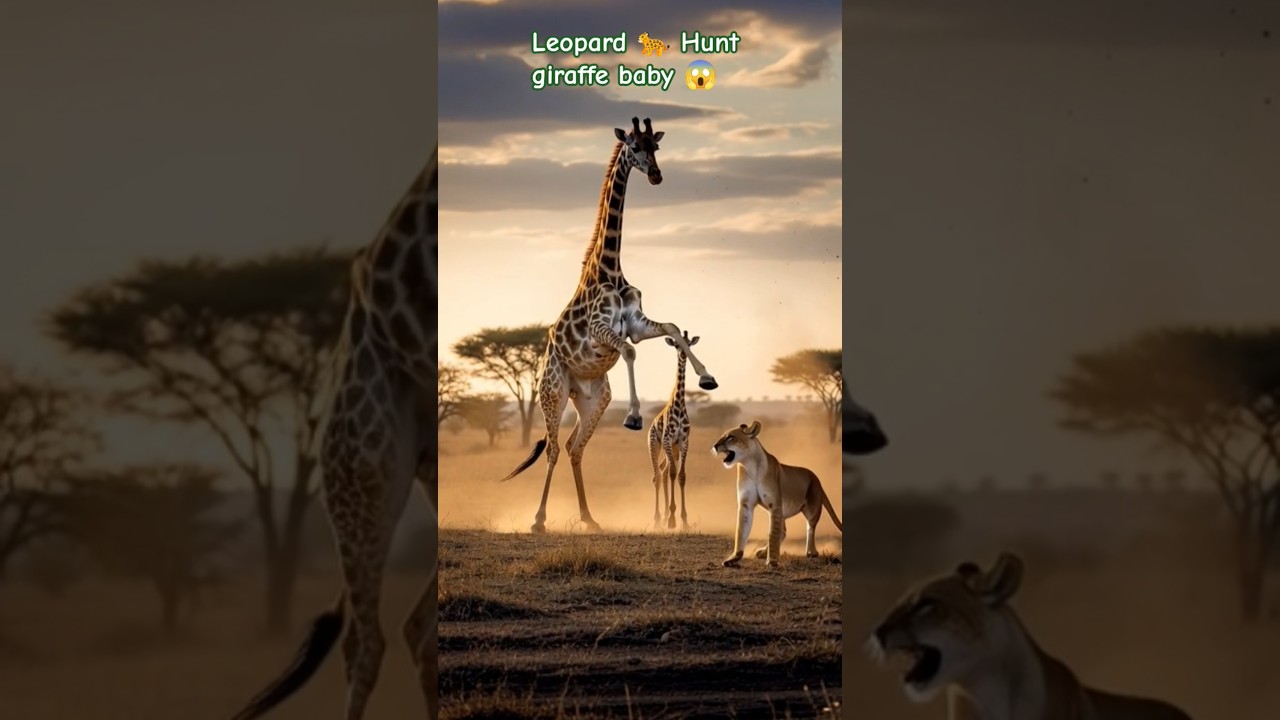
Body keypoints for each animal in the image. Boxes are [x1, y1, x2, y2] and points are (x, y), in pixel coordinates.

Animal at [648, 331, 698, 529]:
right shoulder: (668, 440)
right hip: (655, 444)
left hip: (673, 450)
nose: (683, 354)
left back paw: (663, 518)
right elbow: (673, 474)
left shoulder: (683, 441)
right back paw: (657, 520)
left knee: (663, 471)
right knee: (657, 475)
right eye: (677, 345)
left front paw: (683, 520)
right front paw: (671, 519)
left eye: (689, 343)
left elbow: (681, 475)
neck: (679, 406)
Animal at [711, 420, 841, 568]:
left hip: (812, 508)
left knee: (810, 527)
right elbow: (741, 530)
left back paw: (811, 552)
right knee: (783, 531)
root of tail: (816, 478)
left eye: (730, 437)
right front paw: (733, 558)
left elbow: (772, 533)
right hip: (783, 512)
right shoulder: (746, 504)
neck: (750, 466)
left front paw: (772, 560)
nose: (715, 446)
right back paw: (762, 552)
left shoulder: (774, 504)